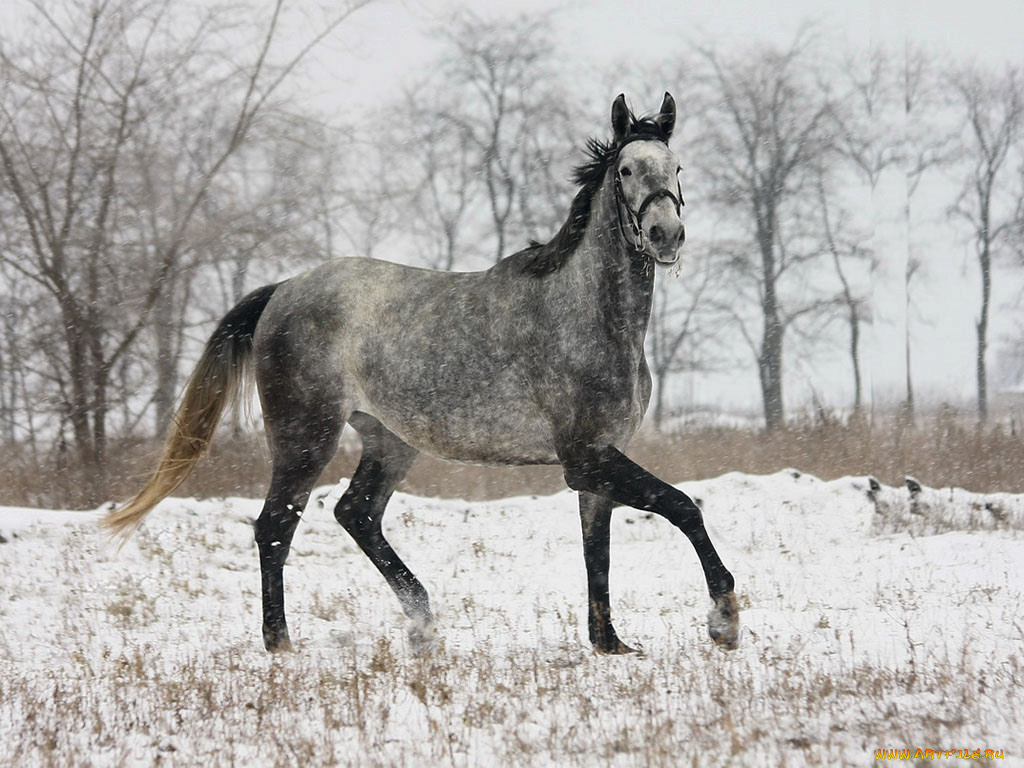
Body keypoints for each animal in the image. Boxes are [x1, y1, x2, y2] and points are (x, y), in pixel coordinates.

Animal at [103, 90, 741, 655]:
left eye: (676, 167)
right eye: (627, 169)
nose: (665, 235)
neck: (586, 314)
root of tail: (283, 290)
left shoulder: (596, 467)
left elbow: (598, 554)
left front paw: (610, 645)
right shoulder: (585, 457)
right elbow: (682, 505)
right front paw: (724, 620)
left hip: (389, 440)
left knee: (355, 513)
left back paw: (423, 626)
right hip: (305, 437)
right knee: (275, 527)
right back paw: (282, 644)